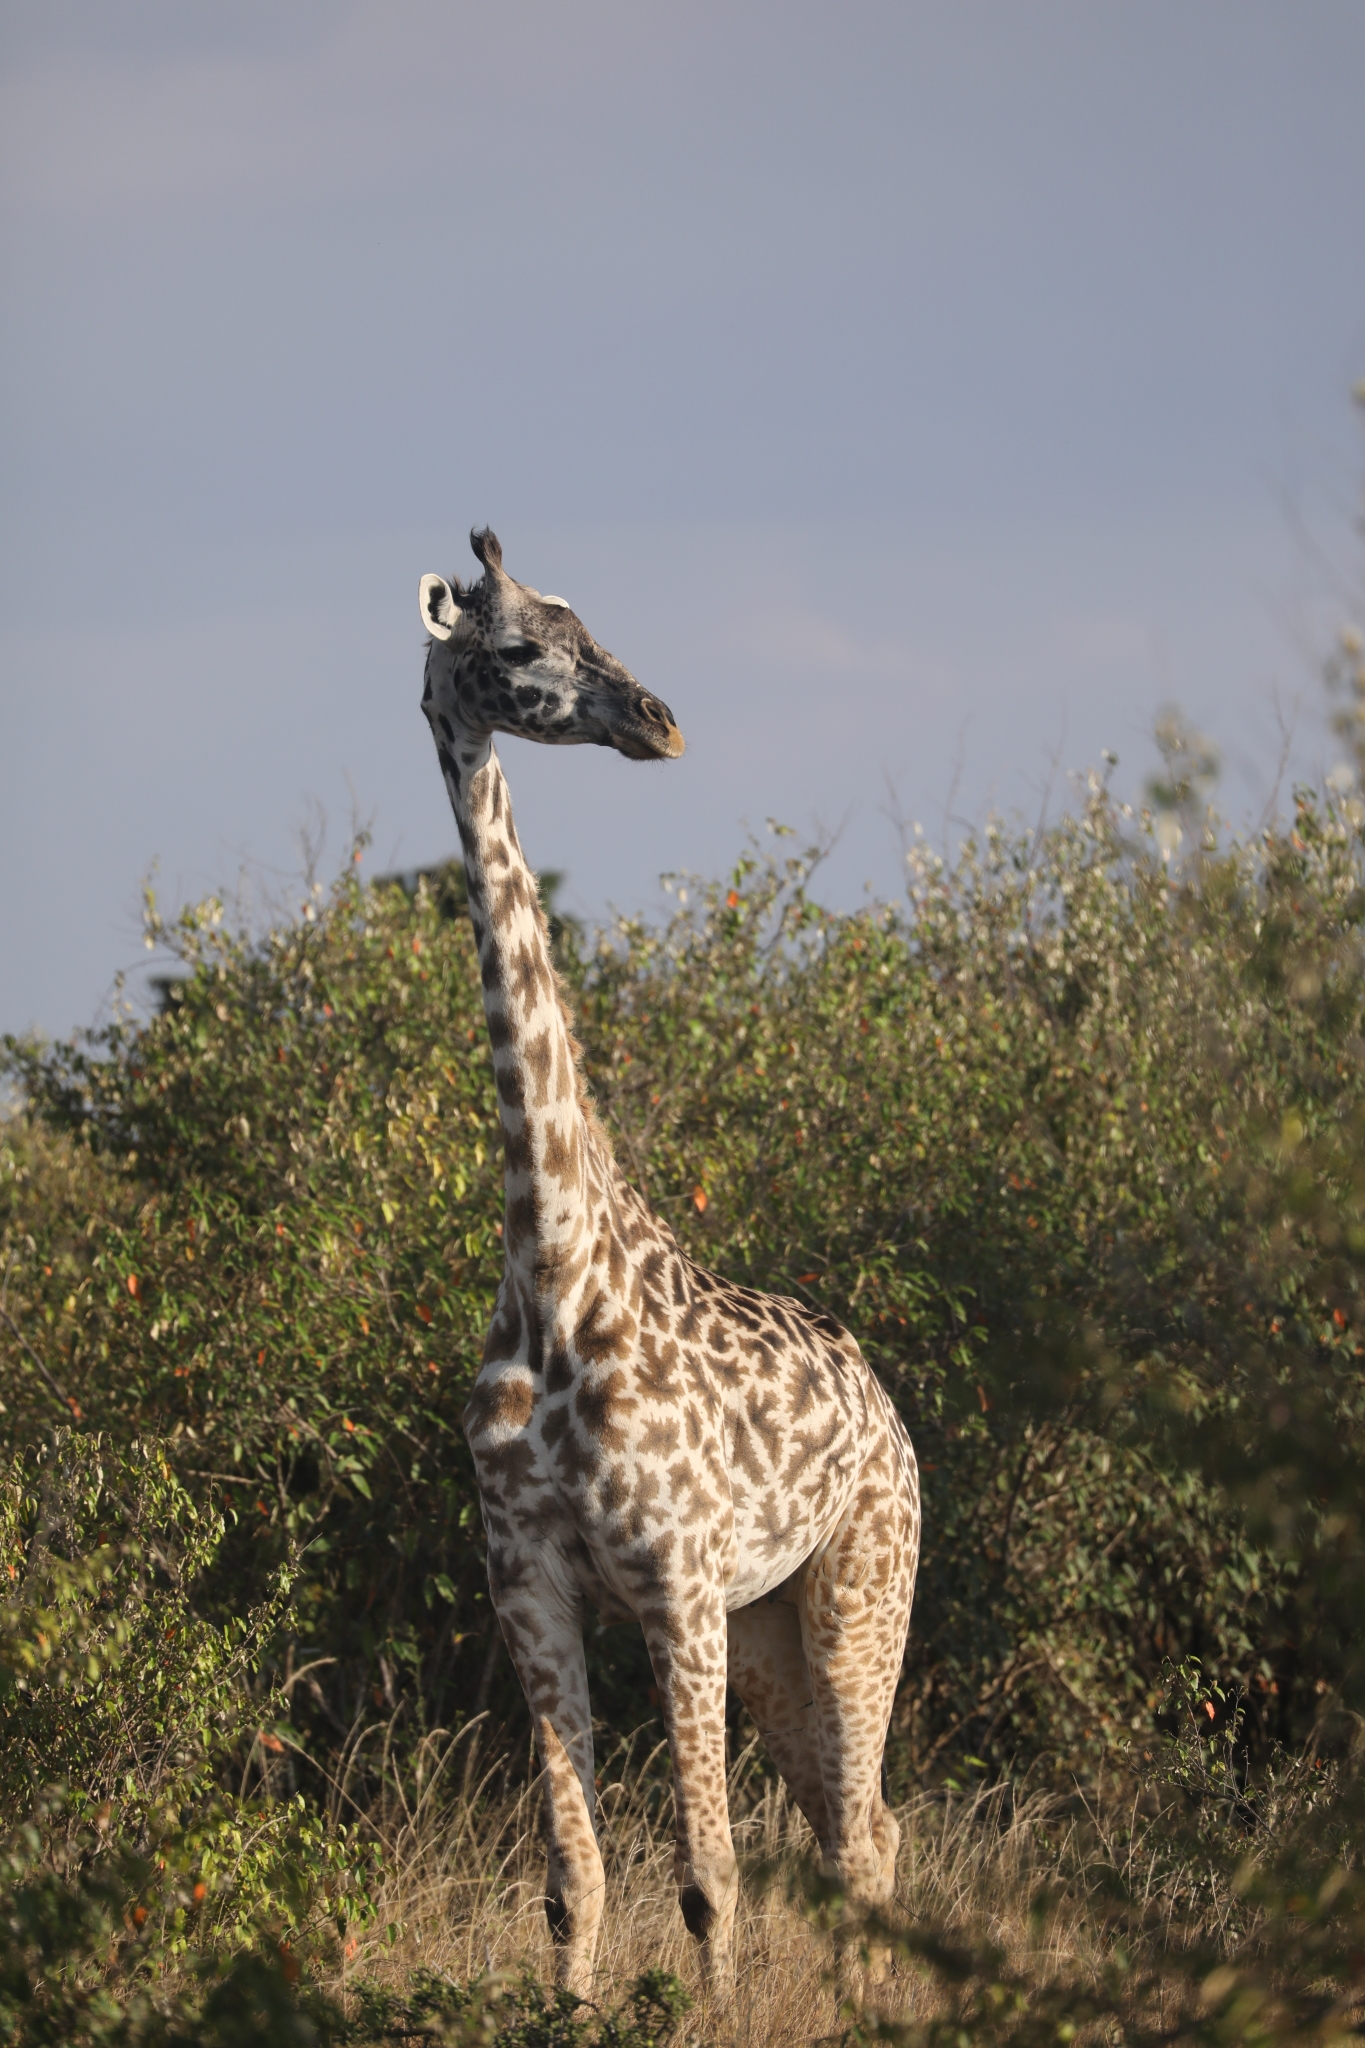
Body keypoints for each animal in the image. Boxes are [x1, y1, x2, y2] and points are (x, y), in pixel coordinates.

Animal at [421, 528, 925, 1998]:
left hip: (861, 1580)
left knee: (862, 1831)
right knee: (854, 1824)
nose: (659, 719)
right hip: (770, 1628)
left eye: (592, 618)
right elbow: (573, 1880)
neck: (554, 1265)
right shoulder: (529, 1583)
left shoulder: (674, 1584)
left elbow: (708, 1879)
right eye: (519, 645)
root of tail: (888, 1411)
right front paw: (573, 2010)